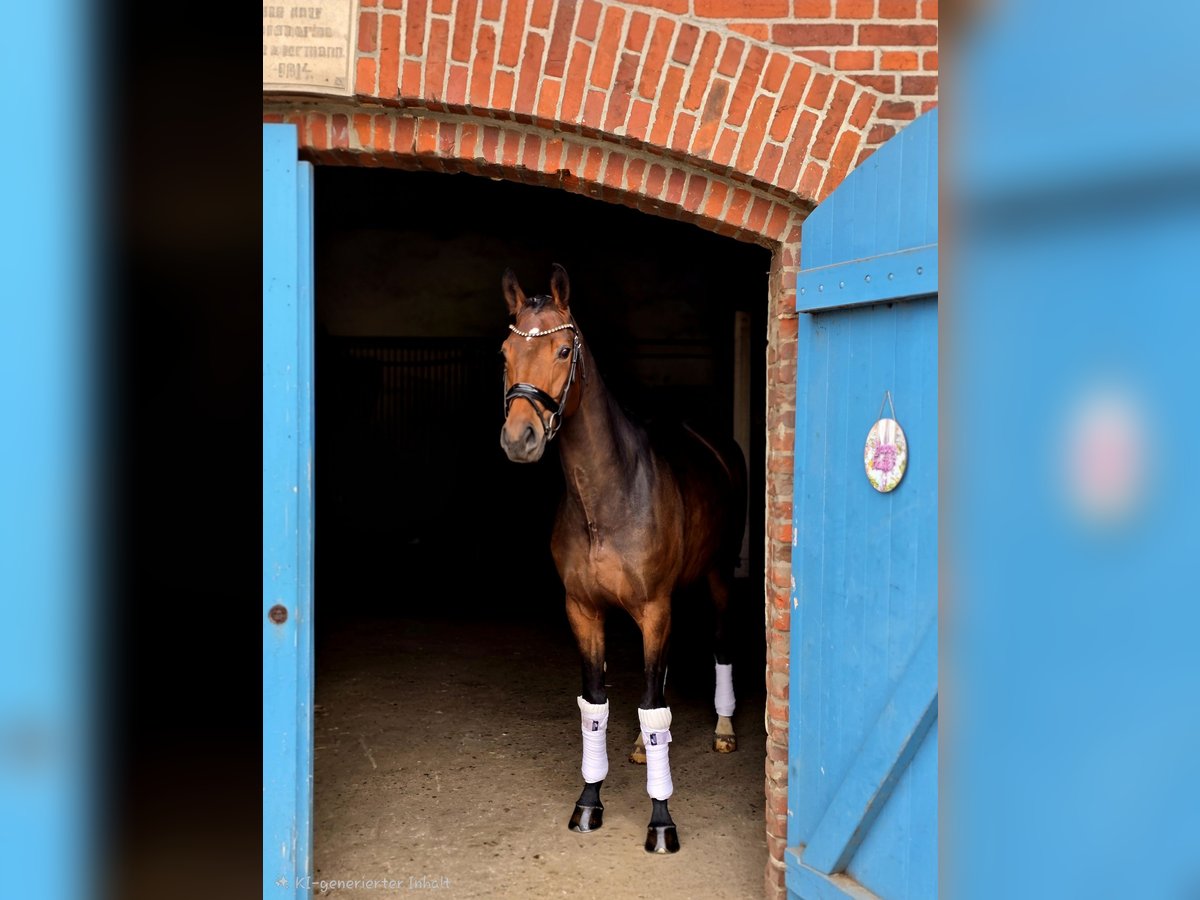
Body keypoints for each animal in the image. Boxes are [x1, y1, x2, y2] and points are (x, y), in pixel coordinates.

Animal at [497, 264, 747, 854]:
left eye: (564, 350)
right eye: (504, 352)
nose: (520, 438)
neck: (607, 498)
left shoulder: (655, 607)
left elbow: (656, 708)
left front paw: (661, 821)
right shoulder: (584, 610)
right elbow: (596, 705)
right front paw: (589, 802)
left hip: (718, 575)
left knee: (719, 642)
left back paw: (724, 728)